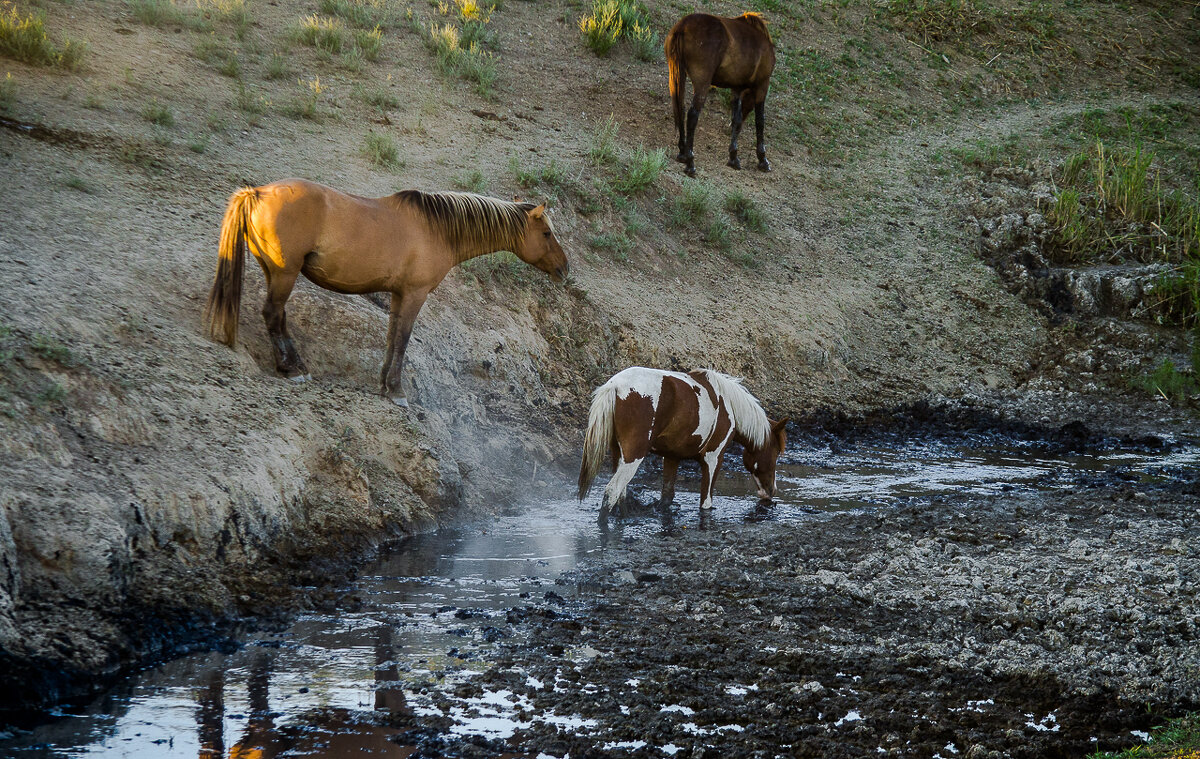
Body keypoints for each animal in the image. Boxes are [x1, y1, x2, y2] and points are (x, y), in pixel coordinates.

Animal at [204, 178, 568, 405]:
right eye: (547, 233)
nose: (565, 269)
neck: (438, 229)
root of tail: (257, 193)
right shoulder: (415, 295)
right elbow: (404, 339)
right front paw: (396, 390)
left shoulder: (397, 294)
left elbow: (392, 336)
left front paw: (383, 384)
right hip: (284, 274)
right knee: (273, 314)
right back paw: (292, 369)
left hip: (274, 272)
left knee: (276, 316)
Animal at [578, 365, 787, 521]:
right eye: (775, 453)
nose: (771, 491)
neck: (729, 405)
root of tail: (615, 386)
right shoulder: (713, 460)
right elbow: (706, 503)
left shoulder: (672, 458)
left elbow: (667, 497)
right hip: (633, 457)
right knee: (612, 491)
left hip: (618, 454)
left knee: (620, 494)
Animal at [667, 11, 777, 177]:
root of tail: (683, 25)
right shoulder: (761, 86)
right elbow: (760, 122)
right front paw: (762, 159)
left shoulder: (736, 88)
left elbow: (736, 119)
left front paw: (733, 157)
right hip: (702, 83)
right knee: (692, 115)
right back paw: (690, 163)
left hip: (678, 75)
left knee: (680, 109)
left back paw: (682, 152)